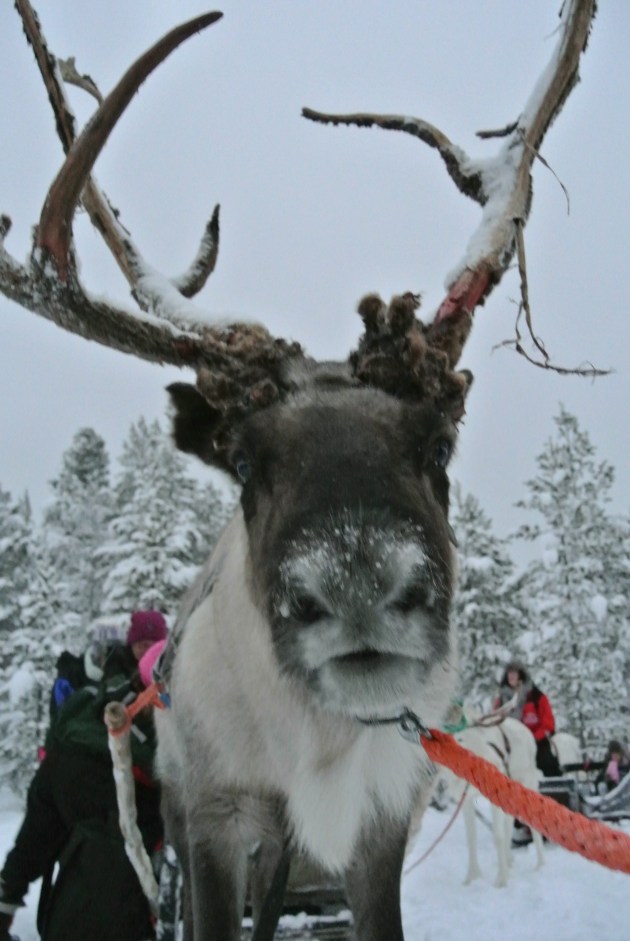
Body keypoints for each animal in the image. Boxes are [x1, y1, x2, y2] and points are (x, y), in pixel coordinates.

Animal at [0, 2, 597, 939]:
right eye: (243, 461)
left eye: (440, 444)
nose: (358, 588)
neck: (314, 749)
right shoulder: (211, 819)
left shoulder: (382, 822)